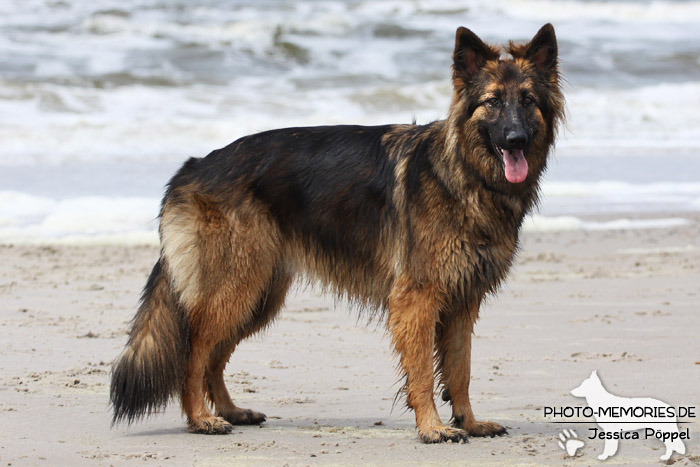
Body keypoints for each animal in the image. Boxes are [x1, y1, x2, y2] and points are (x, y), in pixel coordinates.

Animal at [112, 23, 568, 444]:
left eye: (527, 101)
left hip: (258, 296)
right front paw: (432, 427)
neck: (462, 174)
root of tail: (192, 166)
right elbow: (423, 371)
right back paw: (201, 419)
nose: (516, 139)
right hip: (237, 286)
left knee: (213, 356)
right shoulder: (418, 298)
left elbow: (460, 370)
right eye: (493, 102)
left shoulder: (463, 301)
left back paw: (229, 410)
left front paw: (469, 423)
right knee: (193, 353)